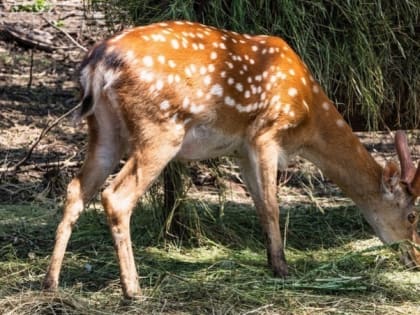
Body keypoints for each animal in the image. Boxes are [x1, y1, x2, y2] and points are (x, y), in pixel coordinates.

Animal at [43, 20, 420, 298]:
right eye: (413, 215)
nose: (415, 256)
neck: (308, 117)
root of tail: (96, 63)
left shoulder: (241, 149)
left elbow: (259, 204)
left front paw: (272, 263)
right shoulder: (266, 131)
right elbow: (272, 205)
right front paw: (284, 269)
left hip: (104, 130)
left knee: (75, 189)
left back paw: (51, 282)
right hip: (159, 129)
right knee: (116, 196)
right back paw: (133, 290)